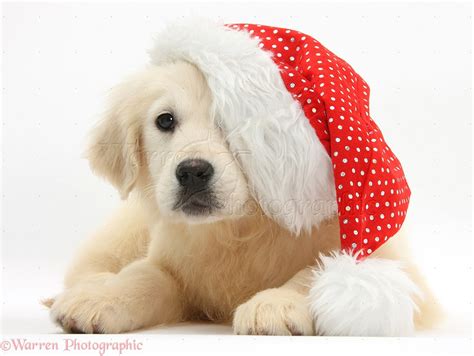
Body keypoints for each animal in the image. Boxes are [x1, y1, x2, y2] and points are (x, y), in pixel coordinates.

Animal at [48, 20, 440, 336]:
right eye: (165, 120)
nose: (192, 172)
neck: (241, 228)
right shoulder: (174, 261)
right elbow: (144, 274)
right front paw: (104, 297)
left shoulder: (385, 259)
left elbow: (316, 268)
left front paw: (276, 303)